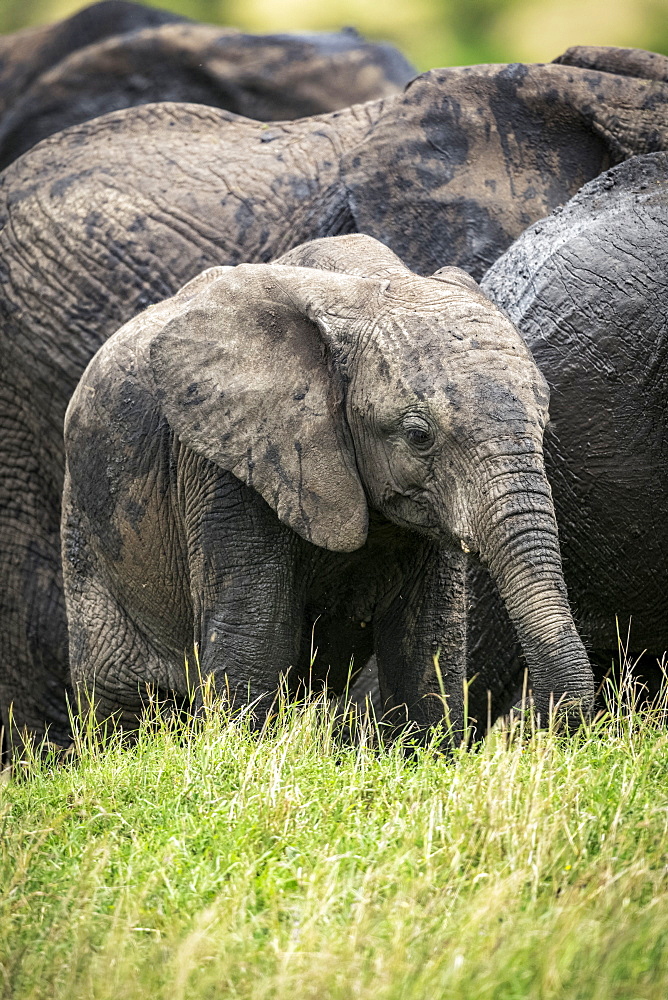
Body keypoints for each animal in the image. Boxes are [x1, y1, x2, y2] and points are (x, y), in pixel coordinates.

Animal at [61, 234, 596, 744]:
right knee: (120, 710)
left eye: (544, 425)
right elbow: (253, 643)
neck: (365, 288)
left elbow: (427, 645)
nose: (531, 726)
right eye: (419, 436)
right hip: (85, 542)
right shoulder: (228, 462)